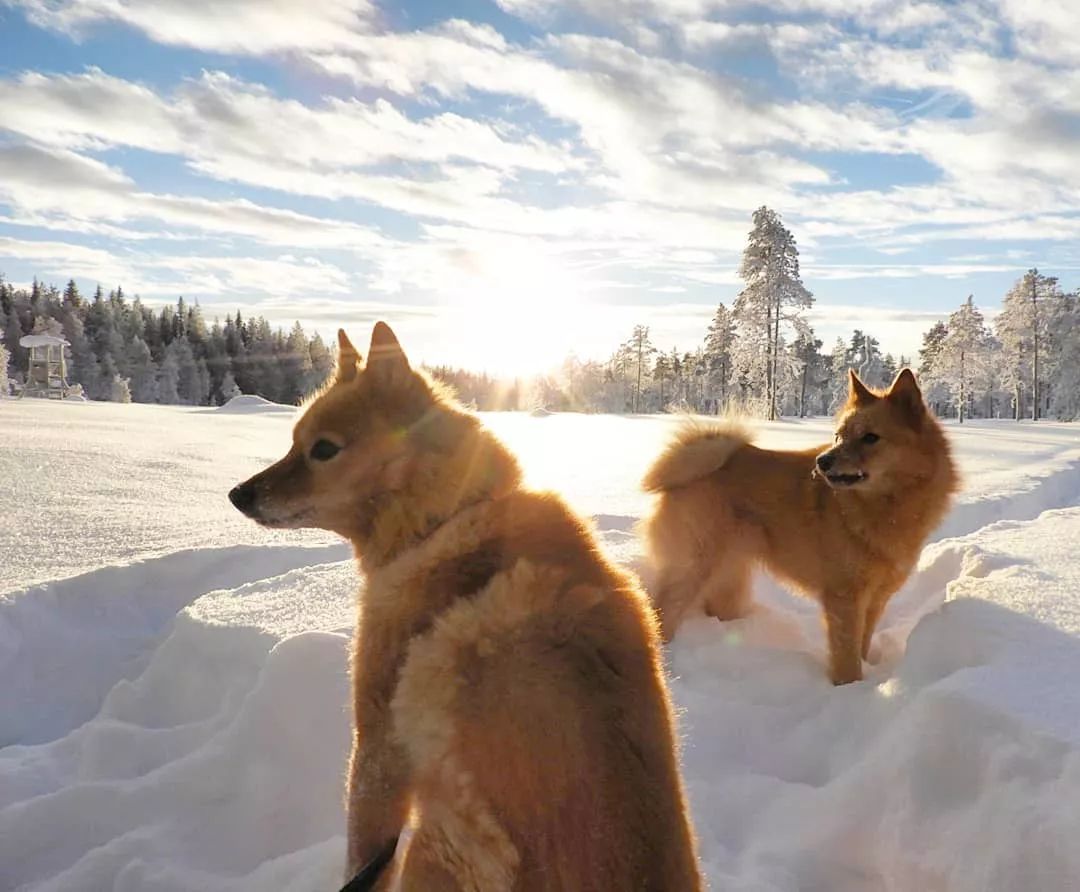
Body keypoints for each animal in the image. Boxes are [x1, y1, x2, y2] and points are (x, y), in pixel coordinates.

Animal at [230, 323, 699, 885]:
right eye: (294, 442)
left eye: (323, 449)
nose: (238, 494)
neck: (447, 520)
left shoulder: (379, 743)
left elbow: (363, 859)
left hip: (430, 848)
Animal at [639, 367, 954, 682]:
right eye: (838, 436)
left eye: (870, 437)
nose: (822, 461)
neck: (886, 507)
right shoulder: (844, 599)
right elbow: (847, 657)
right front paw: (849, 687)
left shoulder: (875, 599)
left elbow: (862, 645)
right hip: (693, 567)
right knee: (662, 610)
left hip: (729, 578)